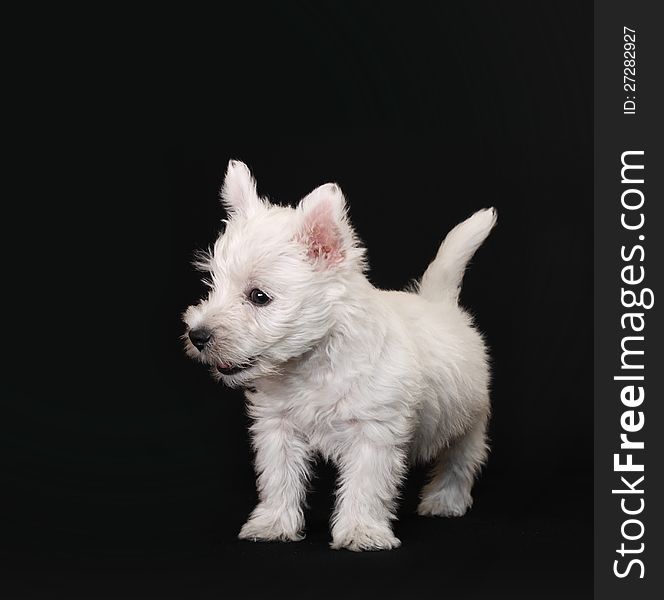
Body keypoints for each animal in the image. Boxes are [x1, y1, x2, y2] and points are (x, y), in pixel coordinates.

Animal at [184, 161, 496, 552]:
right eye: (213, 287)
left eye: (259, 296)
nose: (197, 336)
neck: (312, 363)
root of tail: (439, 304)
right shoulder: (278, 428)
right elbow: (278, 479)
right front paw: (273, 524)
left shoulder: (373, 433)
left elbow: (365, 486)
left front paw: (361, 531)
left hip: (470, 418)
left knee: (460, 460)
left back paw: (445, 500)